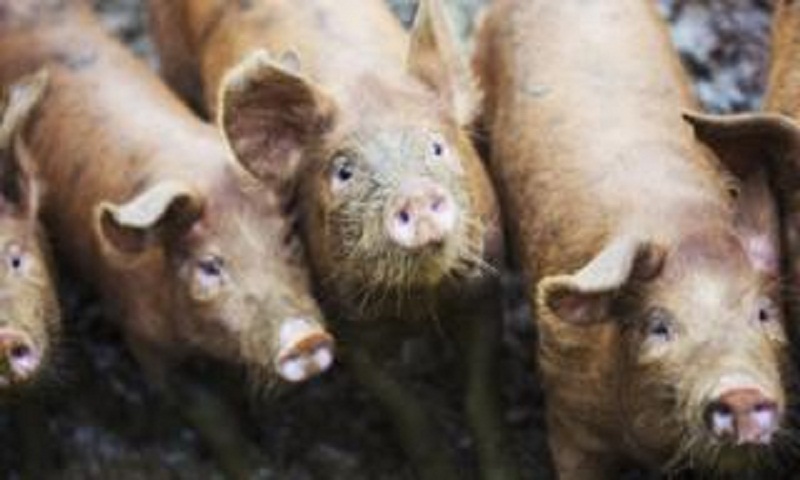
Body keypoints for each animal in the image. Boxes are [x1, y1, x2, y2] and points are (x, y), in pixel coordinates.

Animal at [148, 0, 517, 478]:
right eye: (343, 171)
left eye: (437, 147)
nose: (415, 195)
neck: (418, 303)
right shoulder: (345, 322)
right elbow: (404, 407)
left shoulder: (483, 287)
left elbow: (480, 398)